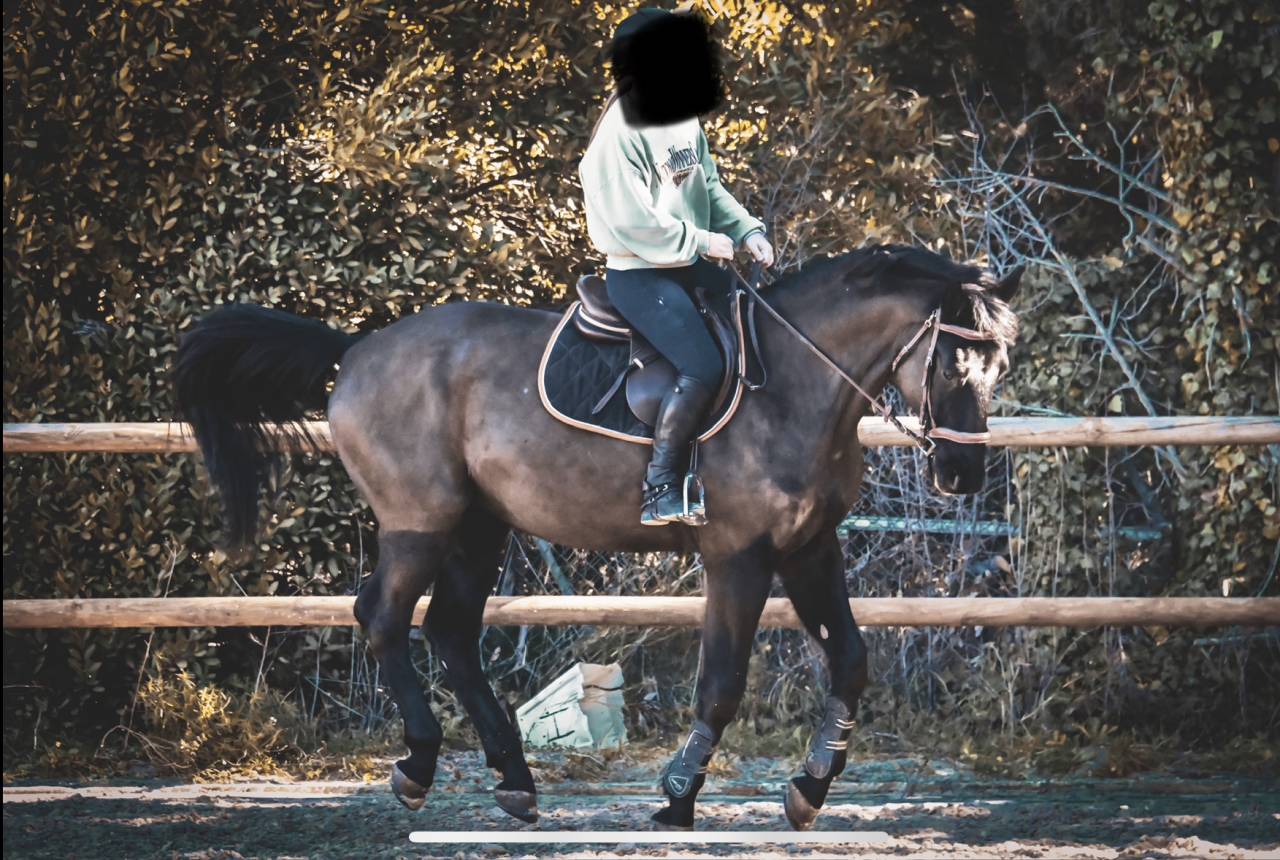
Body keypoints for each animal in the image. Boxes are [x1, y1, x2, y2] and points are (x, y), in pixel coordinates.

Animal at [174, 244, 1021, 830]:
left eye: (998, 364)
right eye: (953, 361)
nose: (961, 474)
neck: (792, 386)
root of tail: (356, 349)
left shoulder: (811, 549)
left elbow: (850, 661)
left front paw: (809, 790)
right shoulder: (738, 557)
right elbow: (722, 683)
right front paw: (678, 795)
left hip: (479, 526)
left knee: (450, 631)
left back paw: (516, 782)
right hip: (421, 524)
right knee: (383, 618)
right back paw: (417, 764)